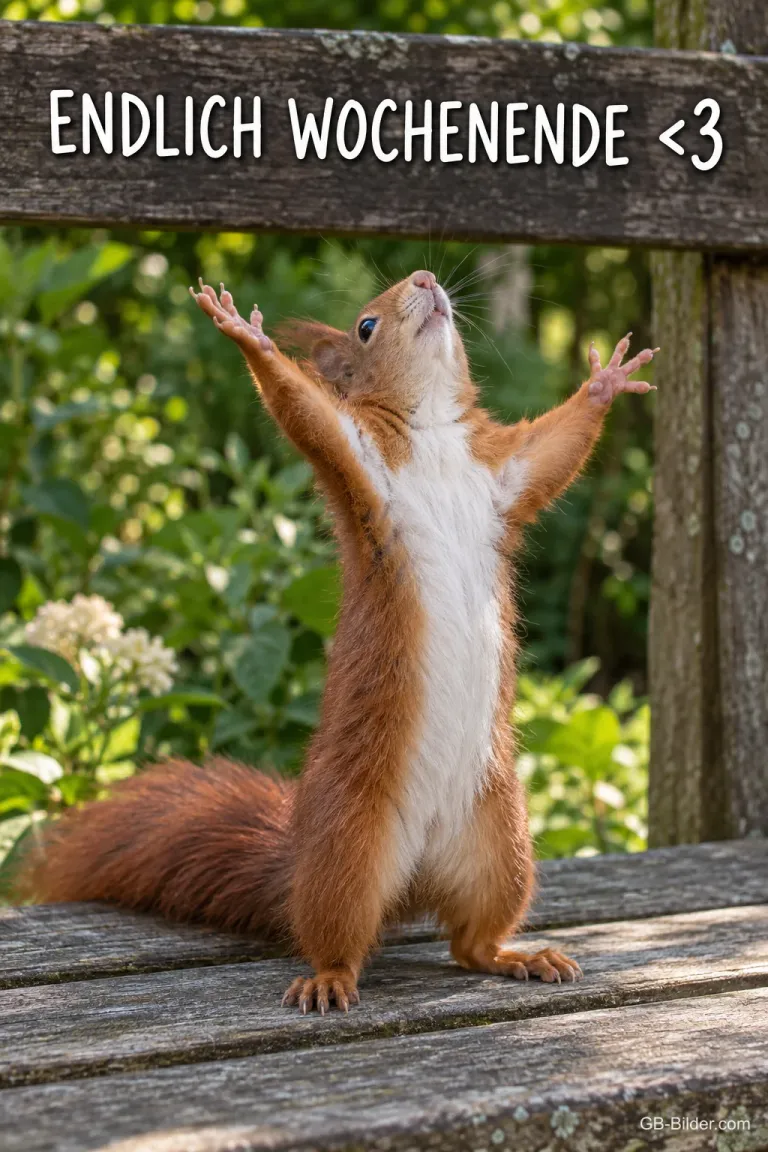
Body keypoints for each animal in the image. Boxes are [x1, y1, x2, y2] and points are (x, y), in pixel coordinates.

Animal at [18, 269, 658, 1014]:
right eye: (365, 326)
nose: (425, 279)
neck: (432, 432)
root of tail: (412, 880)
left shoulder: (504, 476)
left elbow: (555, 449)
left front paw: (605, 382)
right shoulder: (359, 460)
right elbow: (305, 412)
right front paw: (249, 337)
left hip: (501, 843)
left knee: (469, 943)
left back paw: (516, 956)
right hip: (351, 850)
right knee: (338, 933)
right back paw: (330, 977)